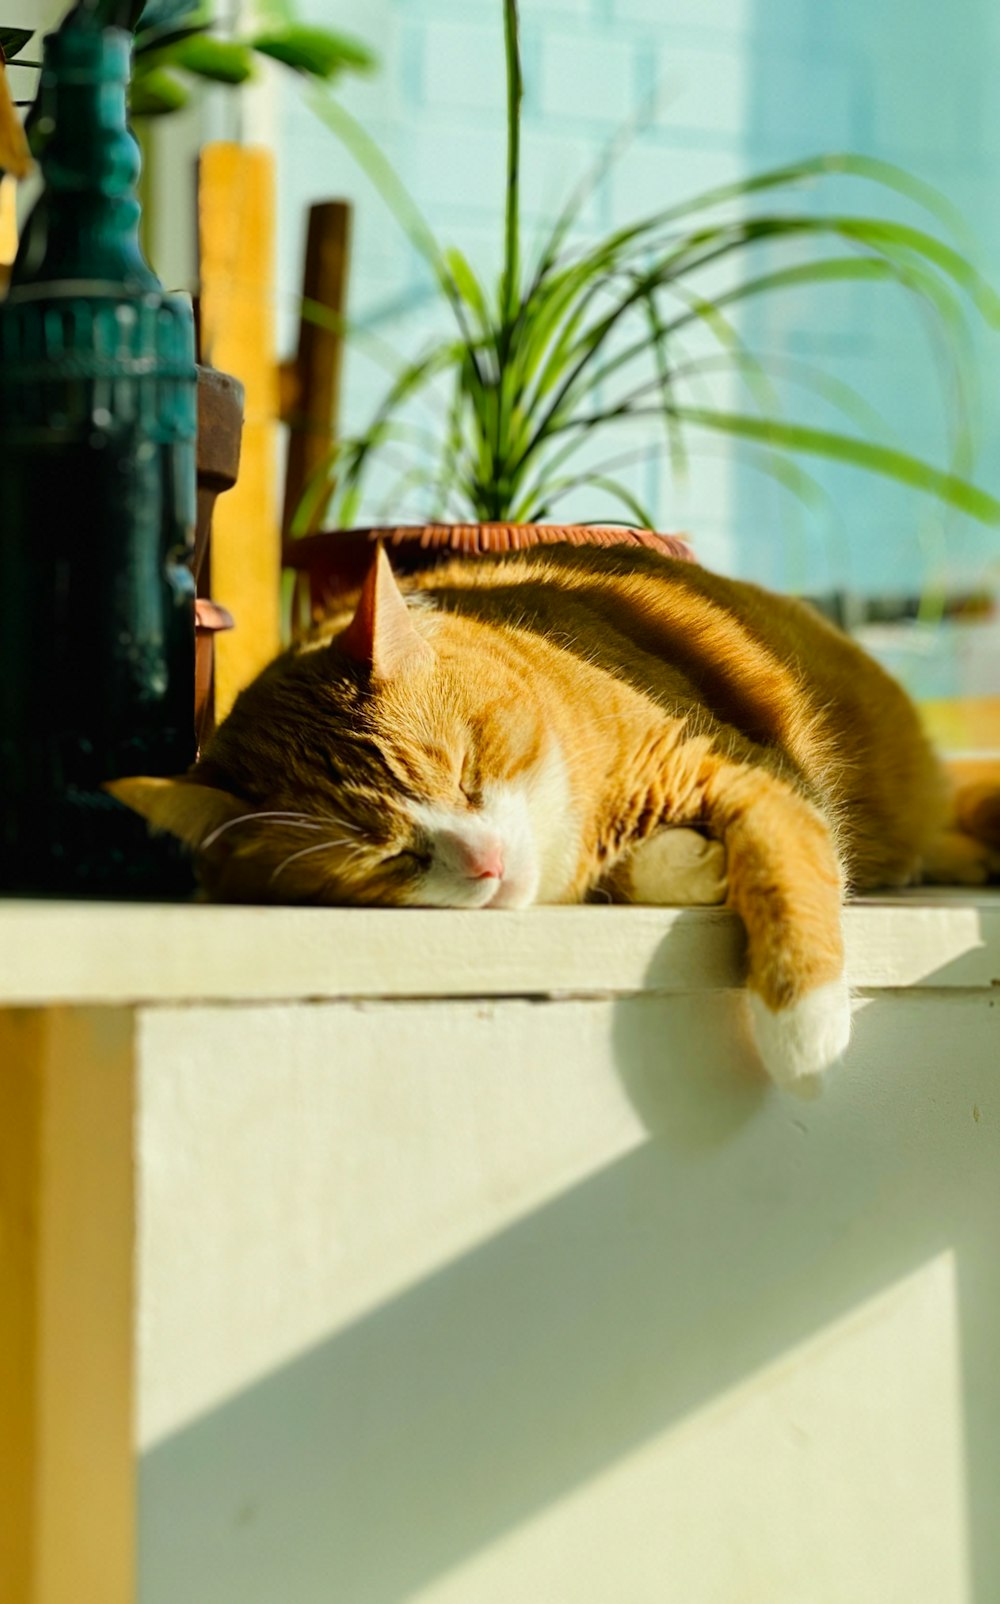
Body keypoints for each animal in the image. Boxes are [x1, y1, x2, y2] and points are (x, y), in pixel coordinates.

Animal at [109, 545, 1000, 1084]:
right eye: (387, 856)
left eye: (466, 771)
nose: (487, 863)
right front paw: (689, 866)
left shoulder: (747, 771)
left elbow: (787, 862)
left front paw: (805, 1025)